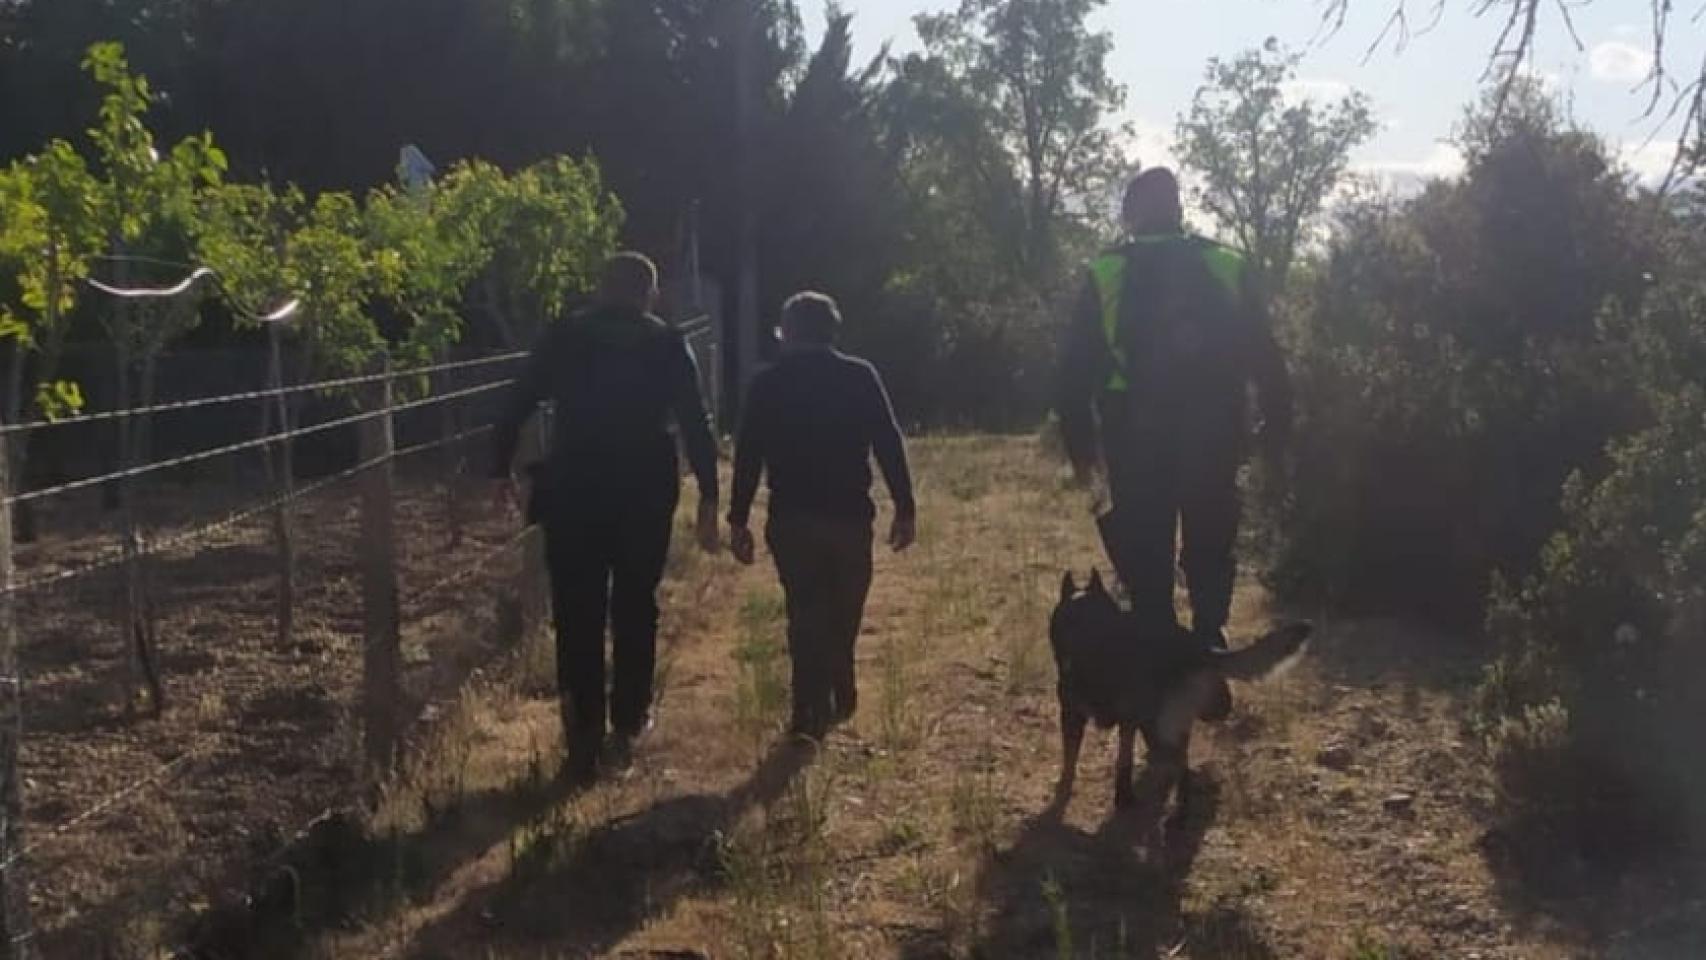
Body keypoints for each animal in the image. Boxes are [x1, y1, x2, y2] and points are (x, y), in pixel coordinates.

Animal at [1044, 569, 1310, 811]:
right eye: (1068, 621)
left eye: (1086, 622)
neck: (1097, 649)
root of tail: (1195, 646)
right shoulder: (1078, 717)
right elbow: (1078, 760)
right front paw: (1070, 789)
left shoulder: (1119, 721)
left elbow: (1117, 759)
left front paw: (1120, 795)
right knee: (1178, 761)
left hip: (1166, 724)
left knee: (1181, 767)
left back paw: (1178, 813)